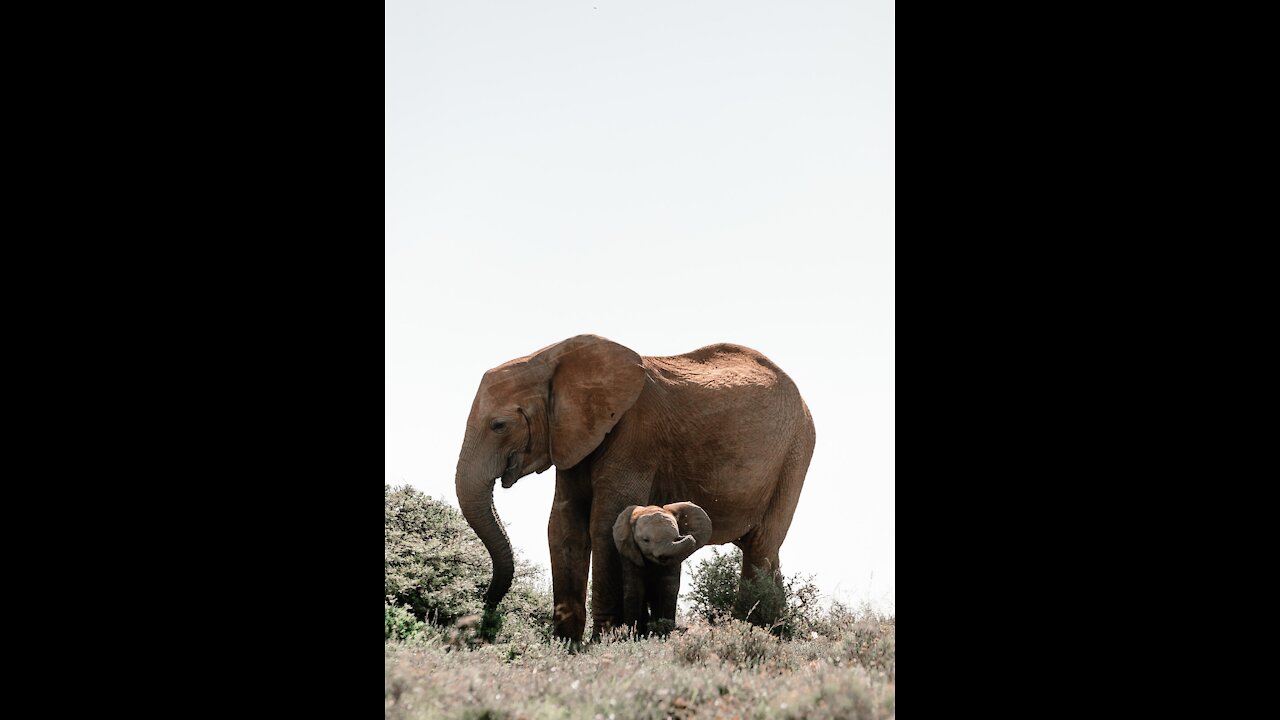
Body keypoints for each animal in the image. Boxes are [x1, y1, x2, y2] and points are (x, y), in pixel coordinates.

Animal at [609, 499, 711, 632]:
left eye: (676, 537)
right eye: (645, 540)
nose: (686, 536)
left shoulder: (674, 559)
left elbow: (668, 588)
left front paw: (665, 631)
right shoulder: (629, 555)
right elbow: (634, 589)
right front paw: (632, 632)